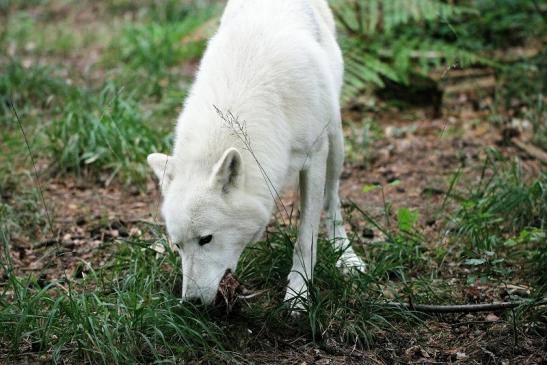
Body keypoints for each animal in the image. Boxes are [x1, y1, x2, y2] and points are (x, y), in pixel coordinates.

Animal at [148, 0, 366, 306]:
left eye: (206, 239)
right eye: (178, 245)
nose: (190, 302)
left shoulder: (315, 156)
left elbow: (306, 235)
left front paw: (298, 295)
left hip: (335, 142)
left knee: (332, 200)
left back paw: (346, 257)